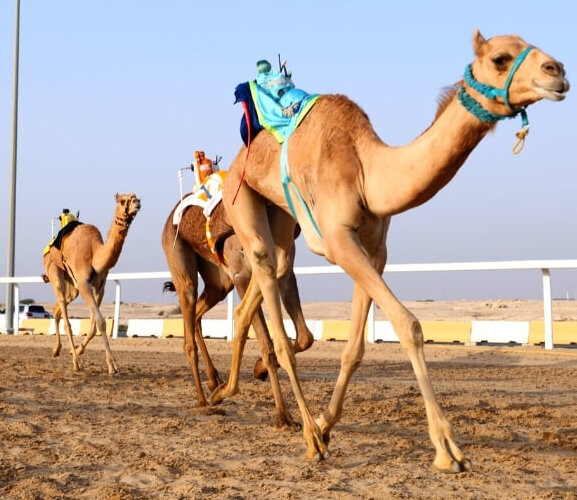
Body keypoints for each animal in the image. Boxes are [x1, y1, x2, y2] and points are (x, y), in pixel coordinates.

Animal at [42, 193, 141, 374]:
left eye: (136, 197)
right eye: (123, 201)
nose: (137, 203)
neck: (95, 253)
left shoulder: (99, 286)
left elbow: (95, 325)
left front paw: (83, 352)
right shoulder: (84, 284)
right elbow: (101, 322)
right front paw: (112, 365)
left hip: (72, 287)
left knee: (57, 309)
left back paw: (57, 350)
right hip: (54, 272)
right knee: (66, 318)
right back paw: (75, 363)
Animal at [160, 193, 312, 428]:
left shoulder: (283, 272)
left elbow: (305, 337)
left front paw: (258, 369)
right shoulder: (242, 276)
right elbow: (267, 346)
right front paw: (283, 416)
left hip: (219, 283)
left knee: (197, 315)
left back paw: (214, 380)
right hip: (180, 259)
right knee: (189, 328)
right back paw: (203, 400)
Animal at [214, 32, 568, 472]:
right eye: (501, 58)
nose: (557, 71)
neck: (367, 170)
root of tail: (235, 159)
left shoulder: (374, 248)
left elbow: (355, 348)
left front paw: (327, 423)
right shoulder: (339, 241)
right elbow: (409, 325)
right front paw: (447, 448)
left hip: (280, 215)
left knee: (267, 279)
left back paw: (228, 390)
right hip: (240, 195)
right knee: (268, 285)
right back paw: (306, 434)